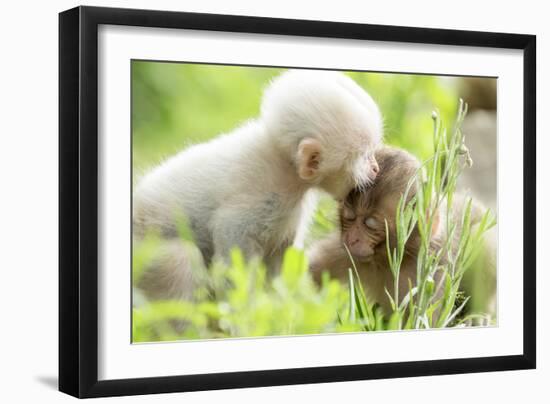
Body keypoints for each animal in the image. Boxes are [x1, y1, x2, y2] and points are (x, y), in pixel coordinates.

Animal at [134, 70, 384, 300]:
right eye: (364, 157)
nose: (375, 169)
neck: (285, 166)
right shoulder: (258, 199)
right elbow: (233, 245)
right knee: (178, 260)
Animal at [308, 145, 498, 318]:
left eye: (371, 225)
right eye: (349, 217)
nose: (352, 239)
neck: (387, 260)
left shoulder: (431, 272)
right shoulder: (344, 253)